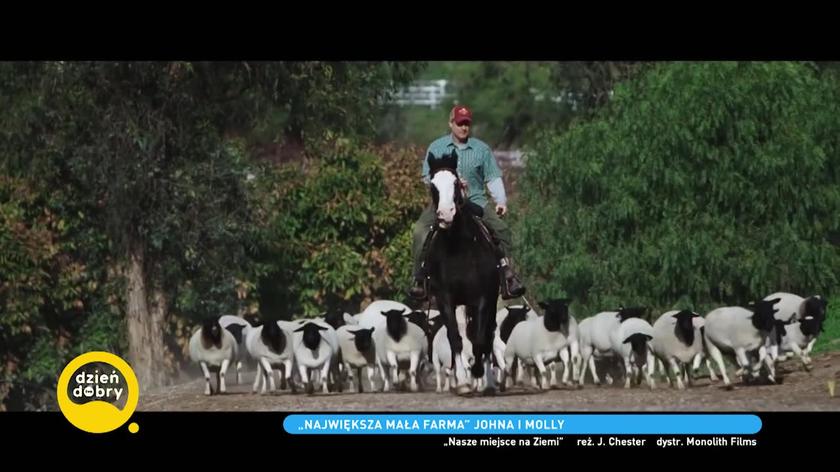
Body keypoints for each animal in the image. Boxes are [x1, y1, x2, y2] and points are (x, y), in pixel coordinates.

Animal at [426, 150, 498, 394]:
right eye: (432, 185)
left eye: (456, 183)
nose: (446, 214)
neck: (458, 248)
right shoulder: (445, 299)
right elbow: (455, 338)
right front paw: (463, 381)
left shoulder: (483, 297)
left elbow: (479, 339)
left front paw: (477, 373)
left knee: (487, 336)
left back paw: (488, 383)